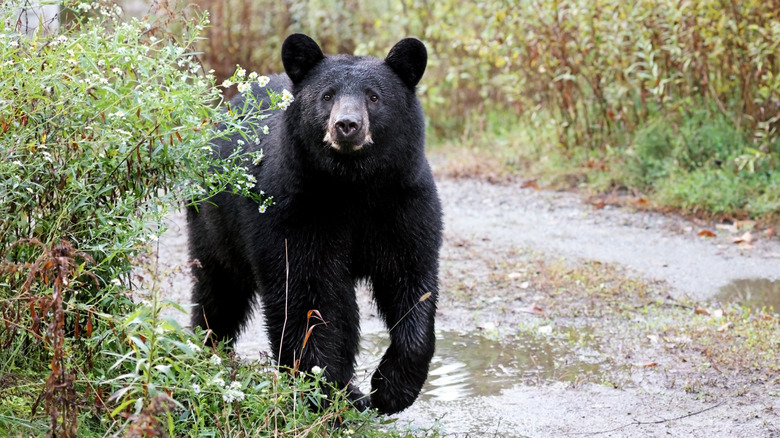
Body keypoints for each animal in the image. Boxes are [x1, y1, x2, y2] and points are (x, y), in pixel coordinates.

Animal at [187, 33, 442, 415]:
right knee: (218, 291)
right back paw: (206, 347)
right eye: (327, 96)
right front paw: (322, 391)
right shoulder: (294, 207)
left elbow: (411, 281)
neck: (353, 185)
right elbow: (304, 292)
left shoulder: (403, 203)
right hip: (212, 223)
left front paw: (390, 389)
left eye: (374, 96)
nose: (347, 125)